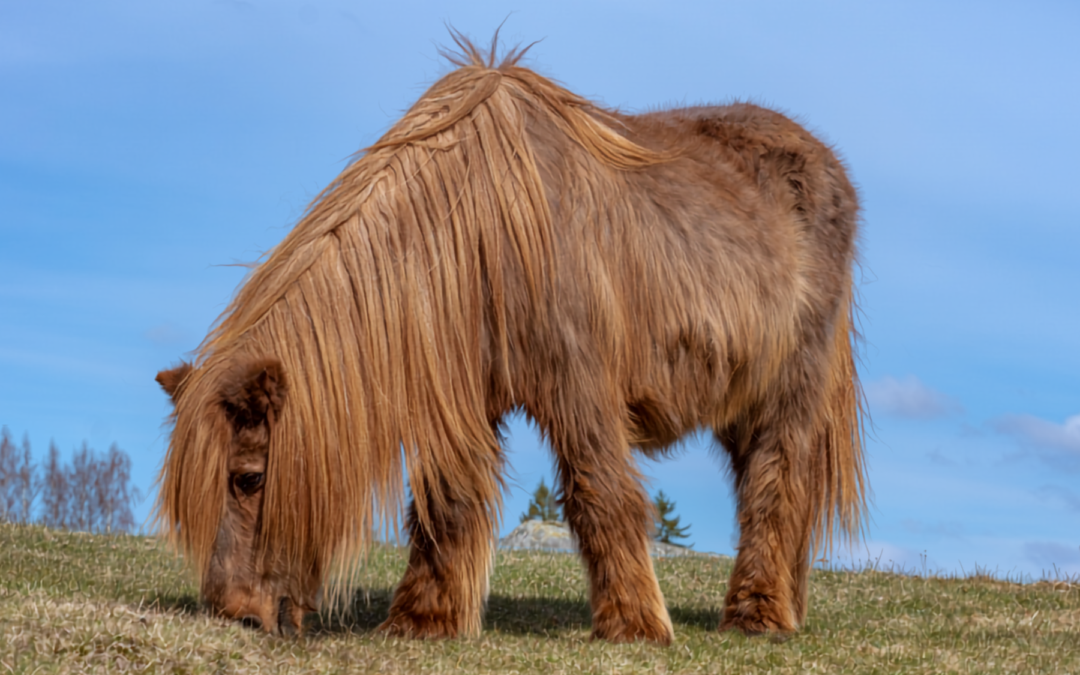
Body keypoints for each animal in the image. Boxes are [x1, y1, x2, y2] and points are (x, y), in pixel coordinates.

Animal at [155, 39, 866, 644]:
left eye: (248, 479)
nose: (232, 614)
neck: (475, 232)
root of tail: (829, 167)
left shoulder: (577, 384)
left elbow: (600, 493)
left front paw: (635, 626)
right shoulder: (464, 397)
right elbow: (446, 503)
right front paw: (424, 622)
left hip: (791, 388)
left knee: (776, 485)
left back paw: (757, 615)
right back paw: (784, 608)